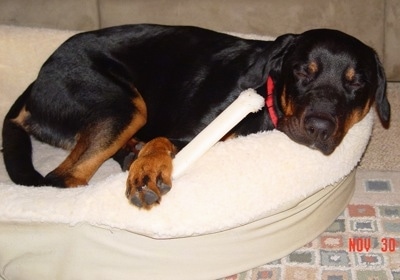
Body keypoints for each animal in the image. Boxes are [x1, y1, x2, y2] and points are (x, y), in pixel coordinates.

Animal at [2, 24, 390, 208]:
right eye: (302, 72)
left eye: (356, 83)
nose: (318, 128)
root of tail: (37, 80)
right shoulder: (198, 132)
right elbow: (161, 141)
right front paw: (147, 171)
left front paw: (141, 162)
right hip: (123, 106)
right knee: (63, 178)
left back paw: (130, 154)